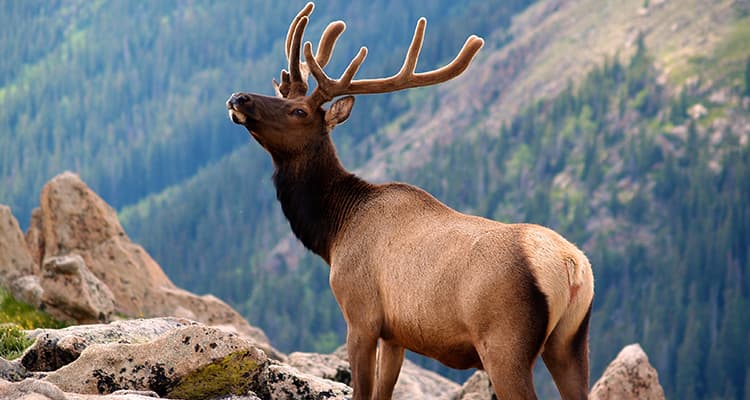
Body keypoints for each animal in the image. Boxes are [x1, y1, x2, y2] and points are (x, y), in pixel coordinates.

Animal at [226, 2, 596, 396]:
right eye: (284, 97)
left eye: (300, 111)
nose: (239, 97)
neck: (333, 232)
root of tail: (571, 266)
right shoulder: (396, 335)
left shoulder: (360, 314)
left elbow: (362, 391)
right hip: (571, 342)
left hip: (505, 342)